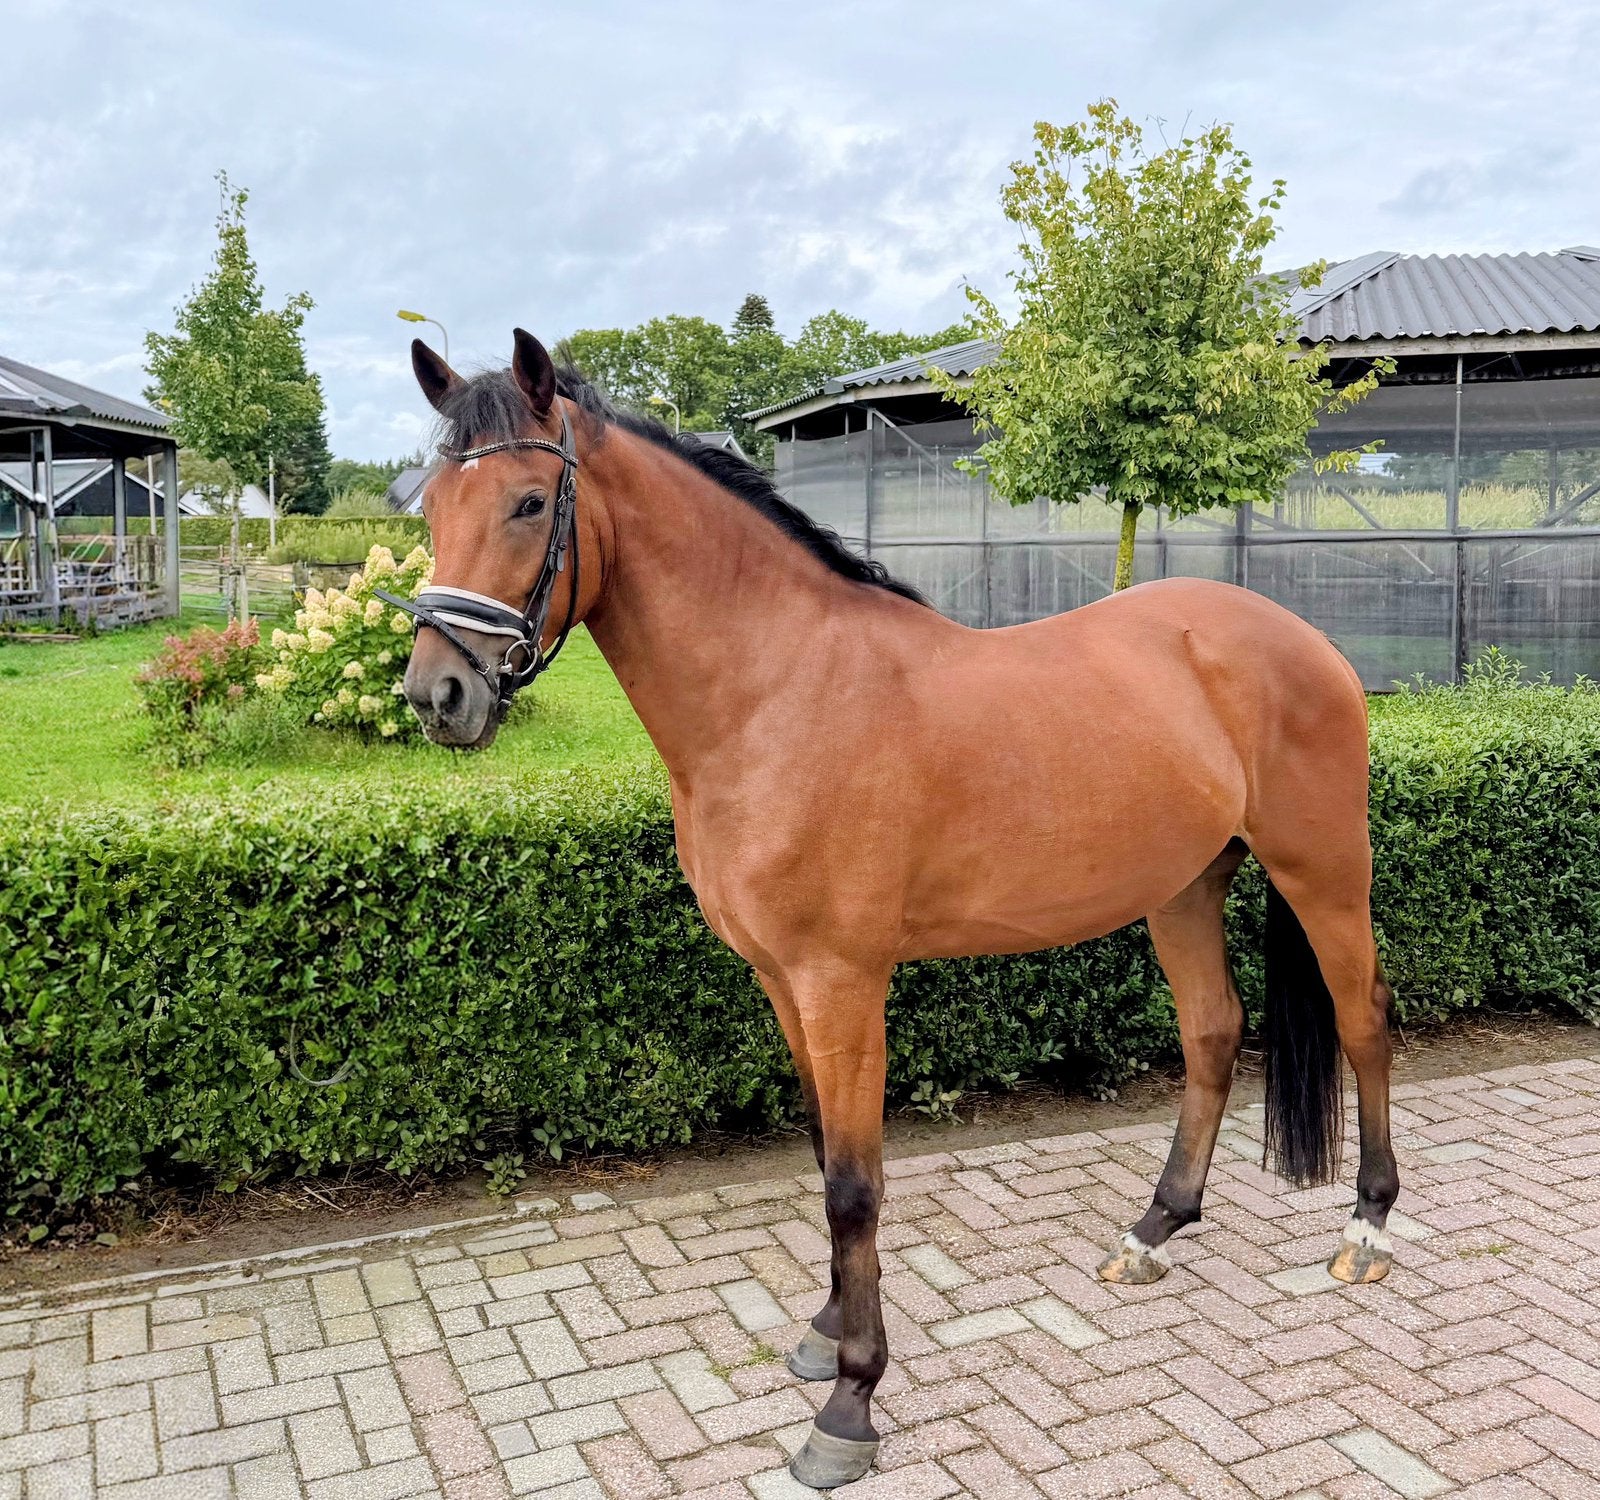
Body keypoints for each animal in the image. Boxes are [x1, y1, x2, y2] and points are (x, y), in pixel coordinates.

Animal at [398, 330, 1399, 1490]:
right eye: (430, 508)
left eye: (525, 503)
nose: (438, 696)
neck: (781, 692)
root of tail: (1302, 637)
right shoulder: (782, 982)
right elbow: (825, 1157)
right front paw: (827, 1331)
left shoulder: (843, 983)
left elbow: (854, 1186)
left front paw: (849, 1405)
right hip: (1185, 887)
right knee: (1211, 1034)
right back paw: (1152, 1232)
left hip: (1323, 871)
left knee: (1364, 1020)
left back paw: (1367, 1231)